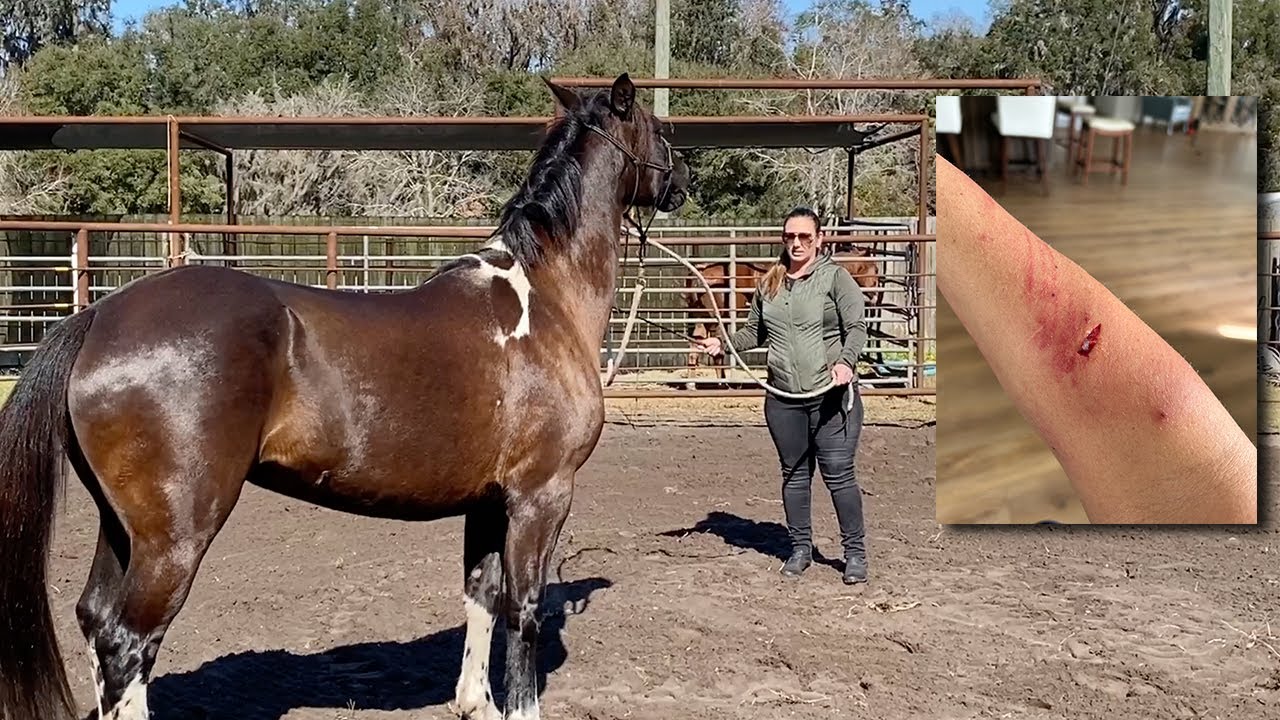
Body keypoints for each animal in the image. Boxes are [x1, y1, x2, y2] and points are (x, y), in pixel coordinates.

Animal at [0, 72, 689, 720]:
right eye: (663, 130)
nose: (683, 179)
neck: (544, 298)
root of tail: (100, 316)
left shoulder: (490, 500)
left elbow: (481, 595)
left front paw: (475, 703)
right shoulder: (540, 497)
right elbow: (523, 612)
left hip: (122, 529)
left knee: (96, 623)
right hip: (174, 540)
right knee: (128, 643)